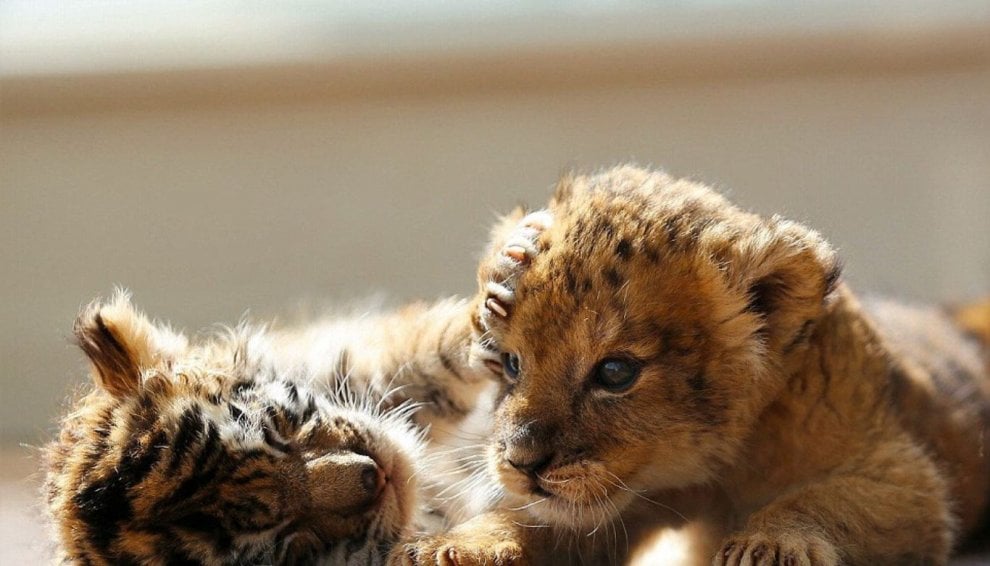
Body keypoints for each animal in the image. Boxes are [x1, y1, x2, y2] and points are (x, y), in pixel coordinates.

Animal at [401, 165, 990, 565]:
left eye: (615, 373)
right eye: (511, 364)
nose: (521, 464)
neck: (714, 470)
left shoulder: (903, 476)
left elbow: (823, 500)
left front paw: (766, 548)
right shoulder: (614, 508)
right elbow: (529, 521)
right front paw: (448, 548)